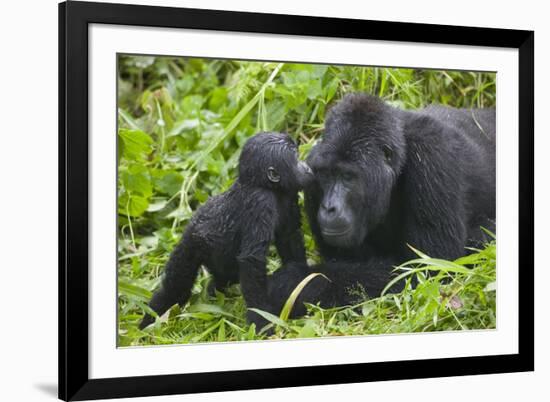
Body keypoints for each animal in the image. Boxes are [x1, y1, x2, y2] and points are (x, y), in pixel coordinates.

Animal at [141, 132, 314, 330]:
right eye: (296, 158)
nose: (306, 166)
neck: (264, 185)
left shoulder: (289, 194)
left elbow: (289, 237)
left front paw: (300, 280)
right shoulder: (260, 202)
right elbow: (252, 260)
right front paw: (261, 320)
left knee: (224, 276)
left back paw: (212, 292)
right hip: (190, 243)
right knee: (176, 288)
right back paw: (149, 322)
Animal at [270, 92, 498, 316]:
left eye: (347, 177)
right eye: (326, 175)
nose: (329, 207)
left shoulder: (433, 155)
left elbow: (428, 269)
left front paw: (292, 282)